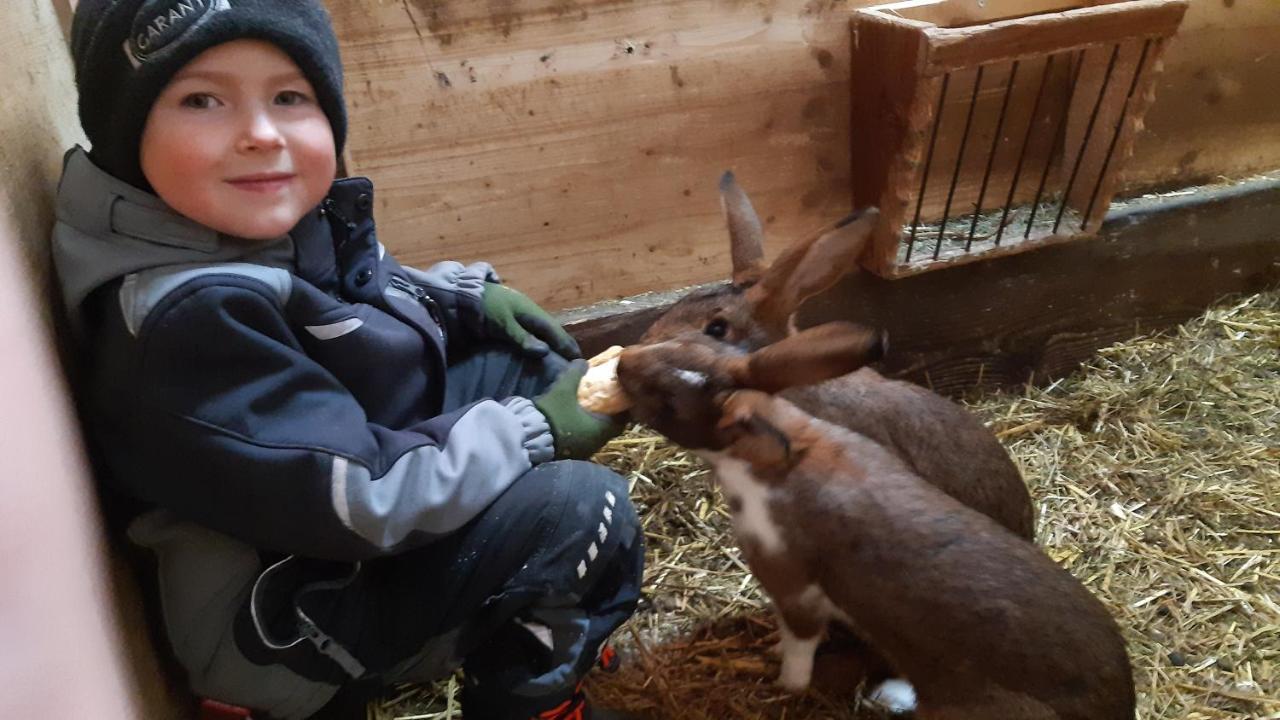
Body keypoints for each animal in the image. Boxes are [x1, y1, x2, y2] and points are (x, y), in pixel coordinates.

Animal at [616, 326, 1131, 717]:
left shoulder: (795, 588)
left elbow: (799, 644)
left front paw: (783, 679)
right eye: (690, 342)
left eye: (669, 402)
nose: (622, 364)